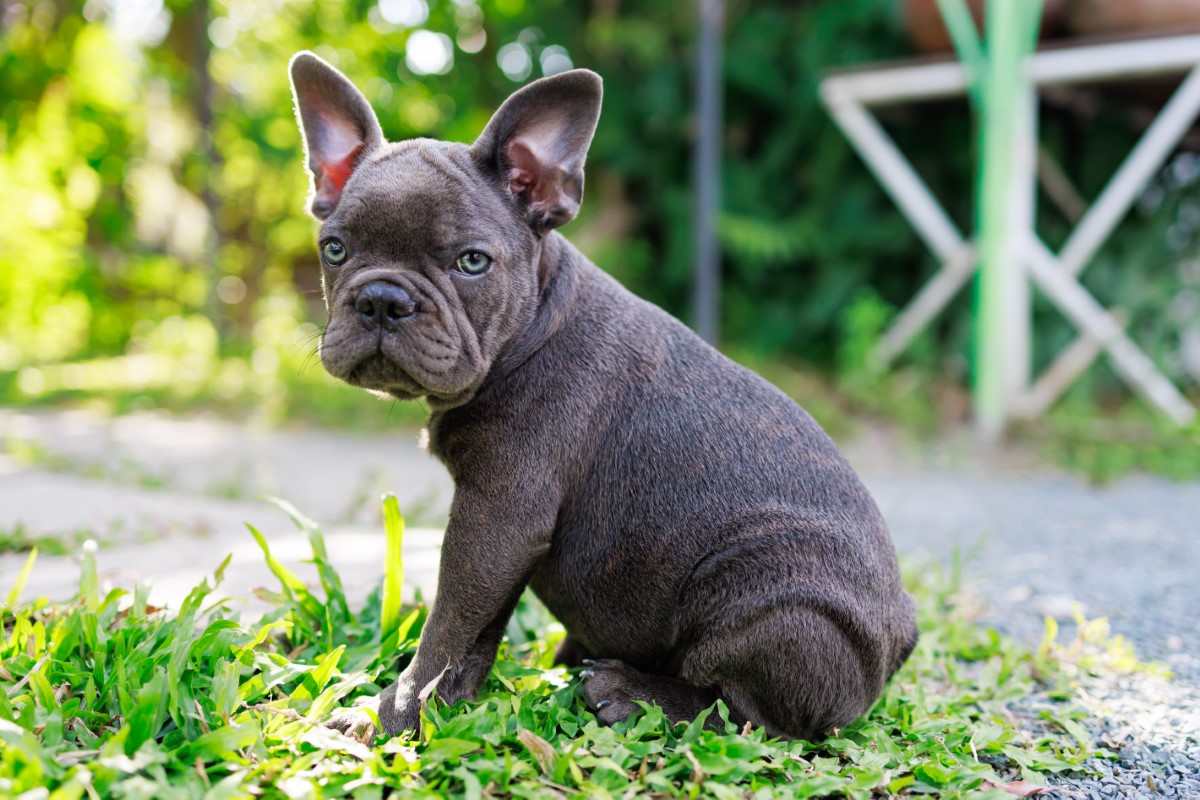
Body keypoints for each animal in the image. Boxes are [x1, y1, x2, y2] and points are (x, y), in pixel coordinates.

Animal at [290, 48, 916, 738]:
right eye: (334, 249)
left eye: (472, 262)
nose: (382, 299)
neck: (530, 331)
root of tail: (901, 638)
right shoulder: (503, 533)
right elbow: (477, 632)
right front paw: (444, 699)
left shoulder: (497, 517)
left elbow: (449, 621)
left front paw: (396, 714)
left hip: (764, 593)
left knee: (746, 713)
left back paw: (631, 693)